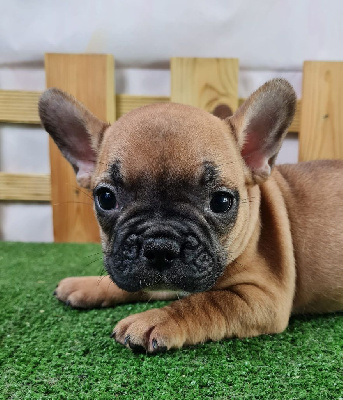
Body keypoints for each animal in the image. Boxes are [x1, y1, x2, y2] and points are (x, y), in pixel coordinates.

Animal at [39, 79, 342, 354]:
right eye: (105, 198)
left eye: (221, 202)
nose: (159, 245)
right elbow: (137, 285)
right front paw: (87, 285)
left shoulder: (263, 297)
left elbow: (205, 302)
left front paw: (153, 320)